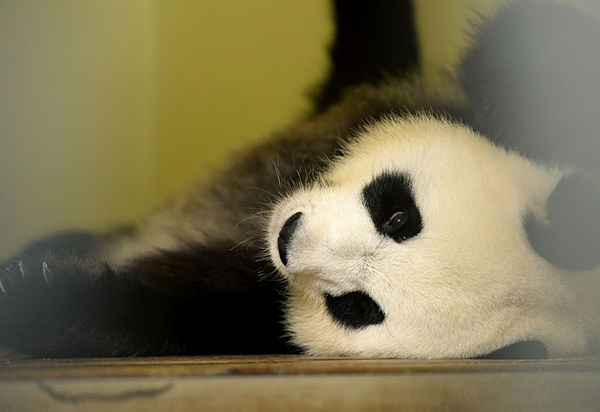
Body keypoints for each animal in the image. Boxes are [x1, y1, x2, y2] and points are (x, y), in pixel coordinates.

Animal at [1, 0, 600, 358]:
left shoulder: (265, 308)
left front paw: (38, 296)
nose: (289, 239)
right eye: (398, 214)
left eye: (357, 307)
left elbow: (190, 312)